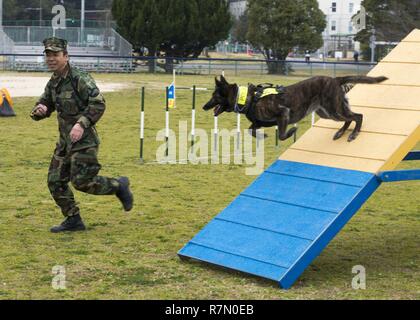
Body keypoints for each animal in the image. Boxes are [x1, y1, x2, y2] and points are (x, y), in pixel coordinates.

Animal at [203, 75, 388, 141]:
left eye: (214, 96)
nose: (204, 106)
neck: (248, 98)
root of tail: (335, 79)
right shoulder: (259, 122)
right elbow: (251, 130)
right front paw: (262, 136)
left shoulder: (283, 114)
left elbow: (282, 135)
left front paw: (291, 131)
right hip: (328, 112)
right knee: (349, 118)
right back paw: (341, 132)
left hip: (334, 109)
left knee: (358, 116)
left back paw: (353, 134)